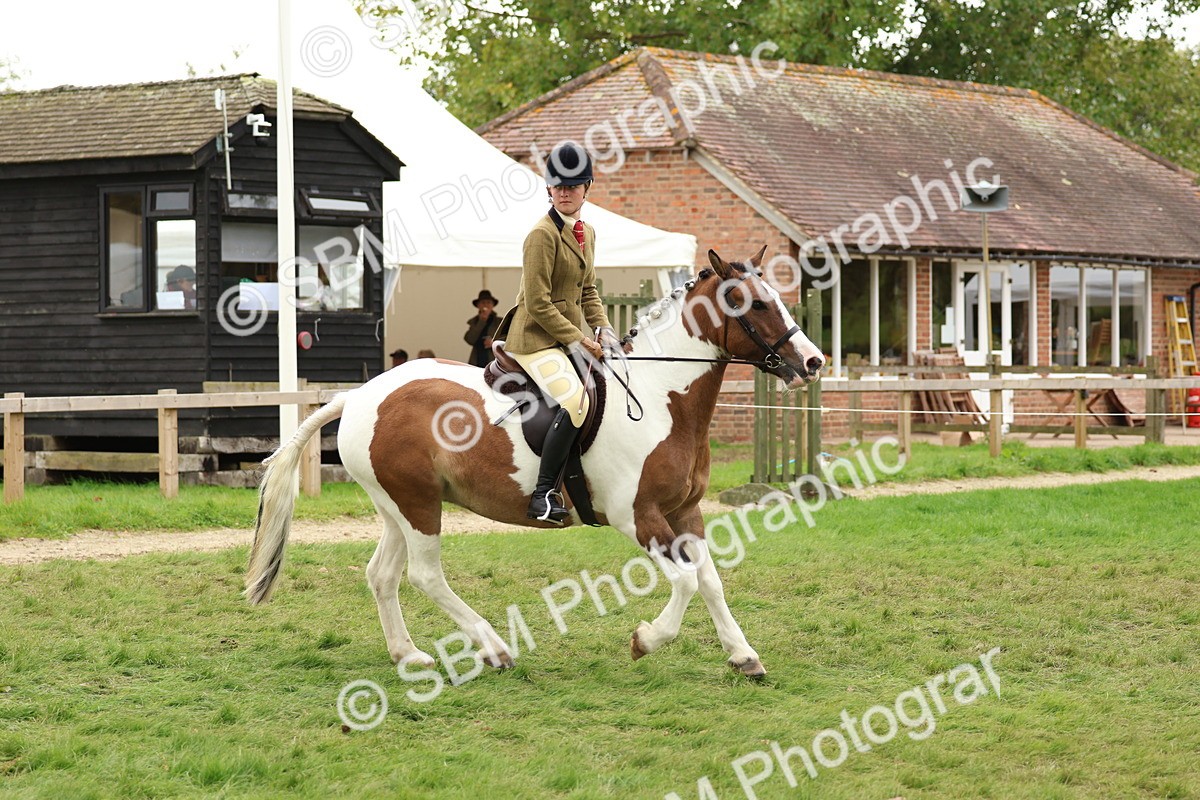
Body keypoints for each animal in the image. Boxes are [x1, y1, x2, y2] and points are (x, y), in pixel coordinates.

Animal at [245, 247, 825, 677]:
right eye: (753, 305)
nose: (813, 361)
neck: (663, 396)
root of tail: (360, 395)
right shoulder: (637, 517)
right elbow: (684, 581)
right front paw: (645, 640)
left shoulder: (685, 513)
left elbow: (710, 579)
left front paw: (743, 656)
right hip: (416, 504)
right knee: (425, 575)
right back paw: (493, 648)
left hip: (398, 504)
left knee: (382, 574)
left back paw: (408, 655)